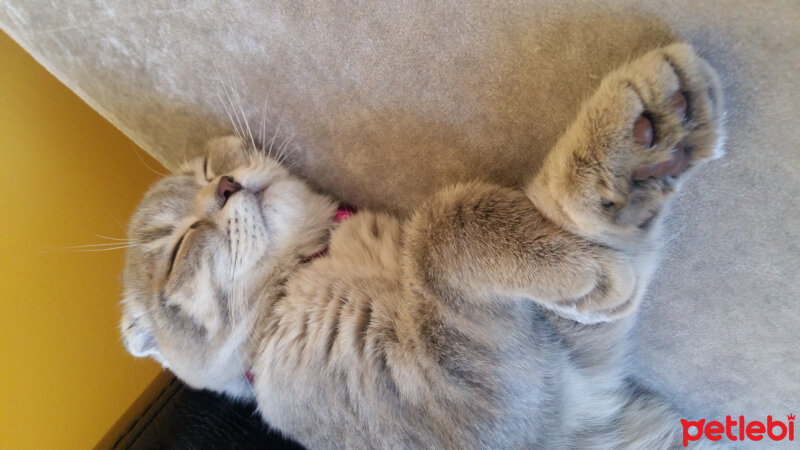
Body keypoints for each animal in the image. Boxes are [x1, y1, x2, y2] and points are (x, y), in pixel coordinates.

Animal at [119, 43, 724, 450]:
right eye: (175, 248)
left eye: (207, 166)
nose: (225, 186)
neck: (317, 262)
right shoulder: (497, 399)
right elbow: (441, 224)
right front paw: (589, 264)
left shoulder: (571, 357)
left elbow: (556, 209)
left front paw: (635, 138)